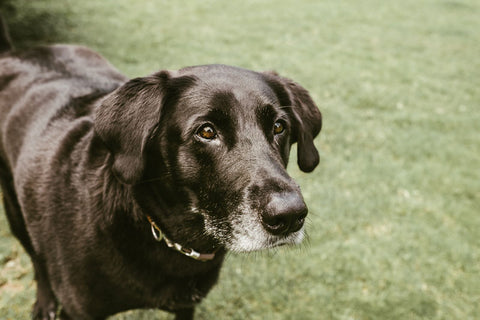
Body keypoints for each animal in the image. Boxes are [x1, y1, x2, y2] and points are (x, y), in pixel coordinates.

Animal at [0, 21, 322, 318]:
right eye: (207, 132)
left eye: (279, 127)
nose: (289, 215)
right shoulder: (79, 310)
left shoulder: (187, 305)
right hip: (16, 210)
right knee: (37, 259)